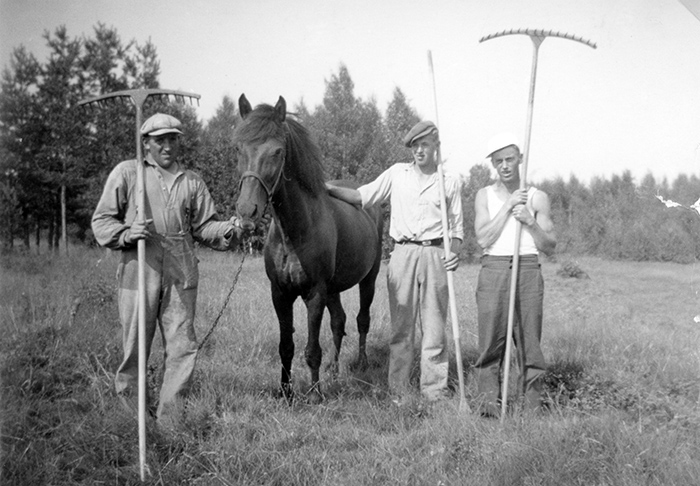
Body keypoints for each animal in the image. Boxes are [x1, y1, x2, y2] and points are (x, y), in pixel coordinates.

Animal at [237, 94, 386, 402]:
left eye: (277, 152)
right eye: (238, 148)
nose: (247, 211)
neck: (294, 230)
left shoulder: (314, 293)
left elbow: (312, 349)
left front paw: (315, 394)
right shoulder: (280, 294)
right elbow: (286, 347)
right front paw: (286, 392)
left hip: (369, 278)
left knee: (361, 320)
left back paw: (361, 362)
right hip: (334, 288)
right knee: (339, 322)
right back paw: (335, 370)